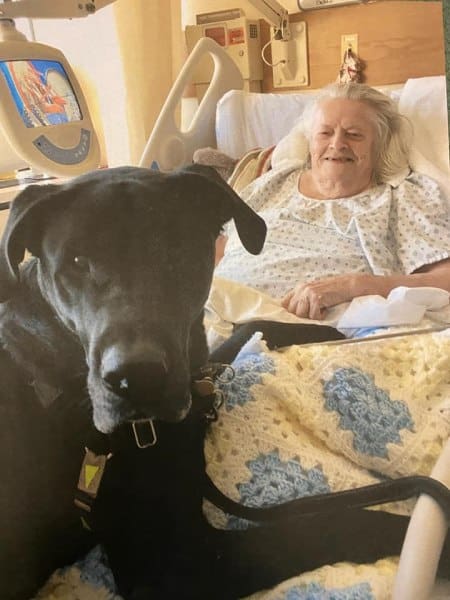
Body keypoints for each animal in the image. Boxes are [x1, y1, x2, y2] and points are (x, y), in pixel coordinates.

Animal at [0, 165, 446, 600]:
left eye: (174, 250)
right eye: (76, 262)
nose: (136, 378)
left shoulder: (196, 368)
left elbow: (245, 329)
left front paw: (324, 332)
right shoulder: (174, 565)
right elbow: (339, 525)